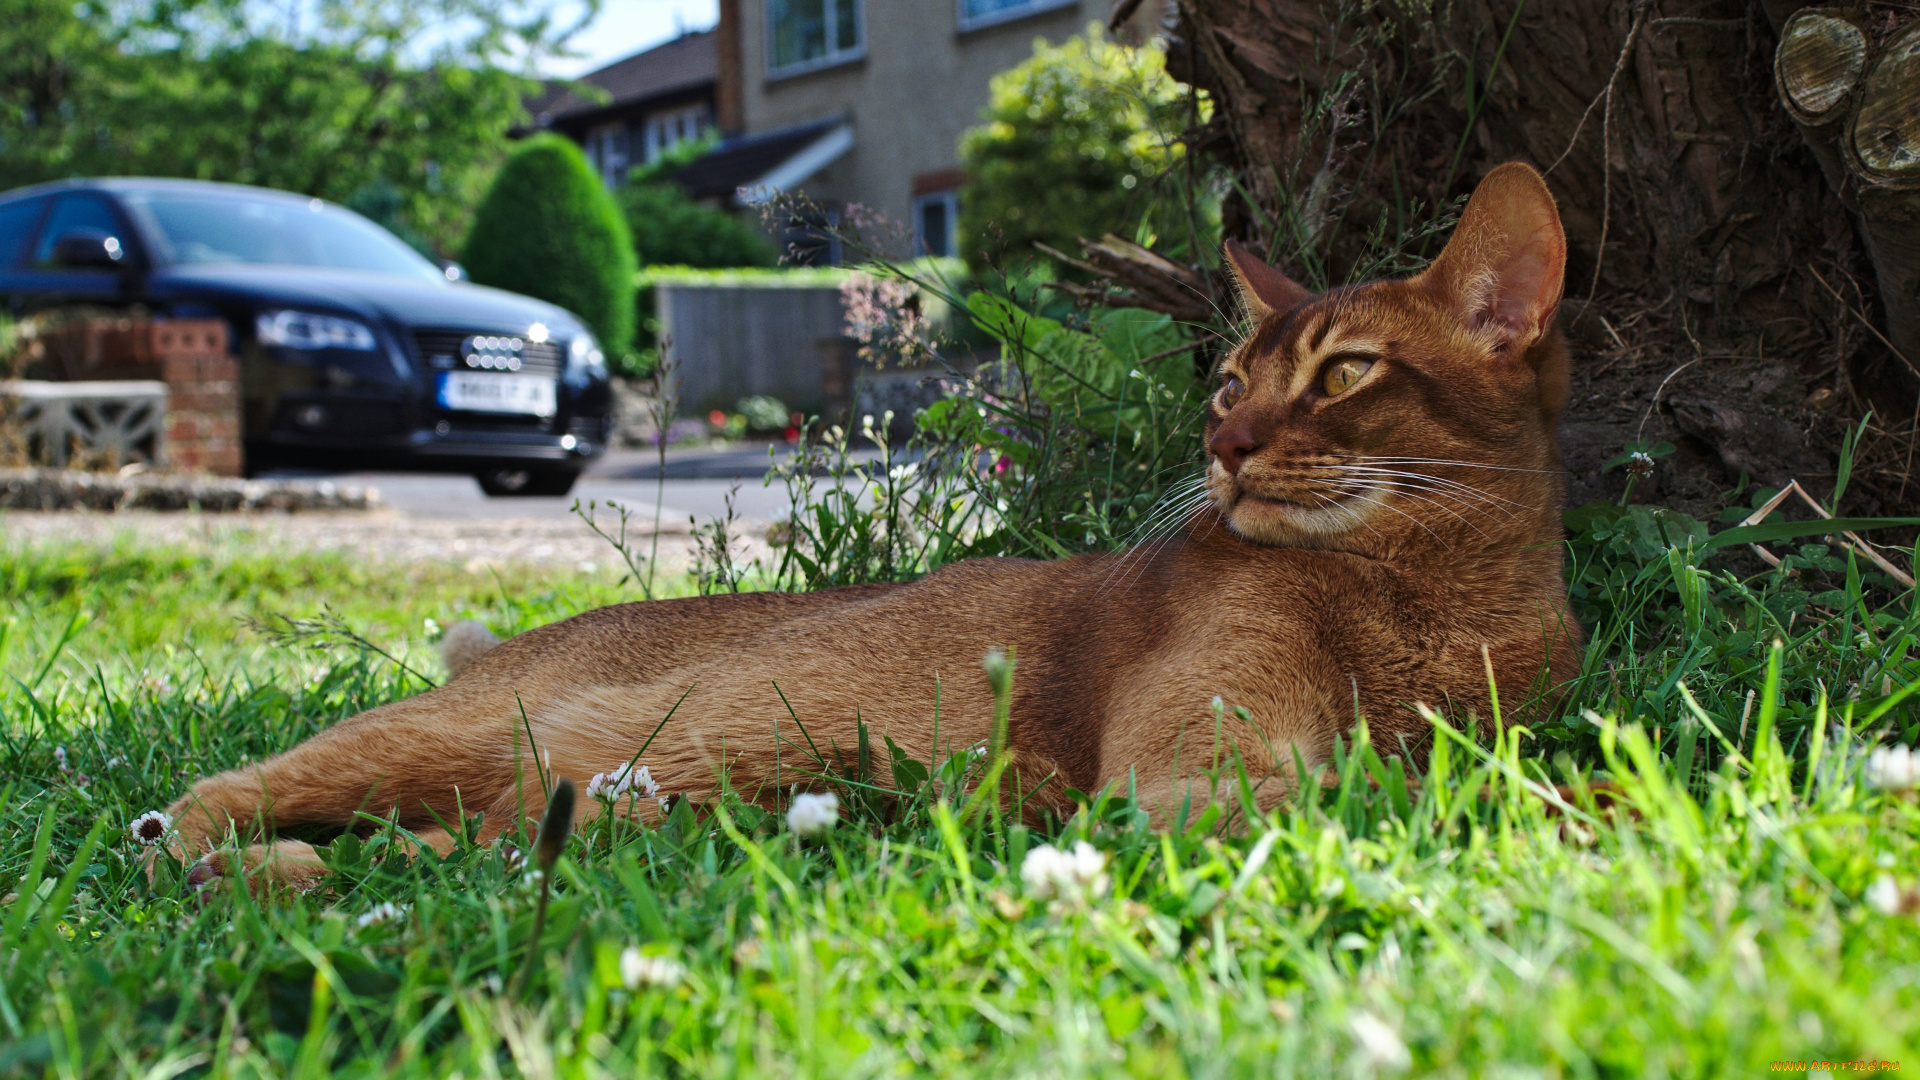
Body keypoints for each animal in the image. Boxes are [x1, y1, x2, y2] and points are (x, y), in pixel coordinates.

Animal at [157, 157, 1582, 883]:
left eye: (1344, 375)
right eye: (1232, 383)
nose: (1221, 448)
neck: (1437, 592)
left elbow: (1485, 765)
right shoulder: (1193, 774)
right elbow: (1415, 791)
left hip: (535, 789)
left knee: (471, 841)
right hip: (450, 728)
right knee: (230, 787)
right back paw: (203, 854)